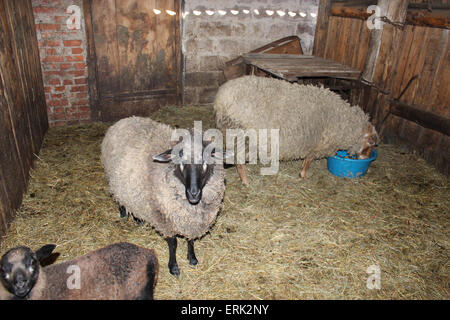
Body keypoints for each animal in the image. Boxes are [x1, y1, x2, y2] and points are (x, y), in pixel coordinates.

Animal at [101, 116, 232, 276]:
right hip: (114, 179)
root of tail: (123, 120)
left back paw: (139, 219)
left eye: (206, 157)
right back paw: (123, 213)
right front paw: (173, 267)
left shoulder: (189, 220)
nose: (193, 193)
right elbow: (173, 243)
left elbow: (190, 240)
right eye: (179, 157)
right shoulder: (164, 217)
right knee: (118, 197)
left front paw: (192, 258)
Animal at [213, 75, 378, 185]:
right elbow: (309, 159)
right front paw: (304, 174)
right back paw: (246, 181)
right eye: (370, 144)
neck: (344, 122)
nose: (365, 159)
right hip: (242, 134)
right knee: (239, 160)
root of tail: (221, 100)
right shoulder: (317, 143)